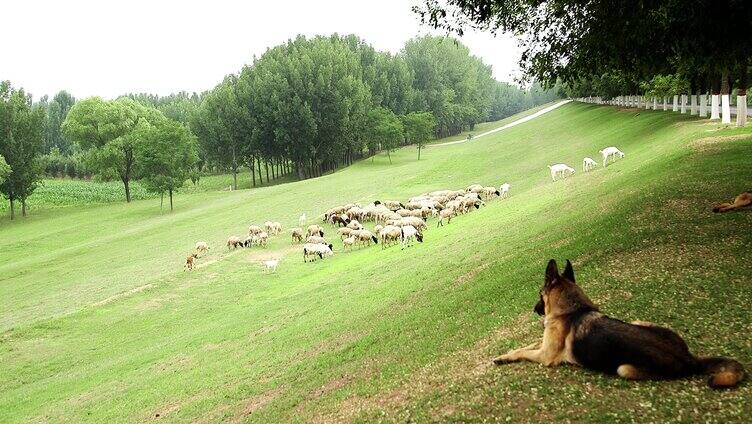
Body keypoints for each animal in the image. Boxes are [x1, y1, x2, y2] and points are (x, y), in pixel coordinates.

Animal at [494, 258, 748, 388]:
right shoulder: (544, 343)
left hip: (623, 369)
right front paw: (504, 354)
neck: (574, 310)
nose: (534, 309)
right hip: (642, 322)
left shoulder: (546, 355)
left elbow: (525, 351)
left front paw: (507, 357)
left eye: (540, 294)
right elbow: (525, 345)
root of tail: (689, 358)